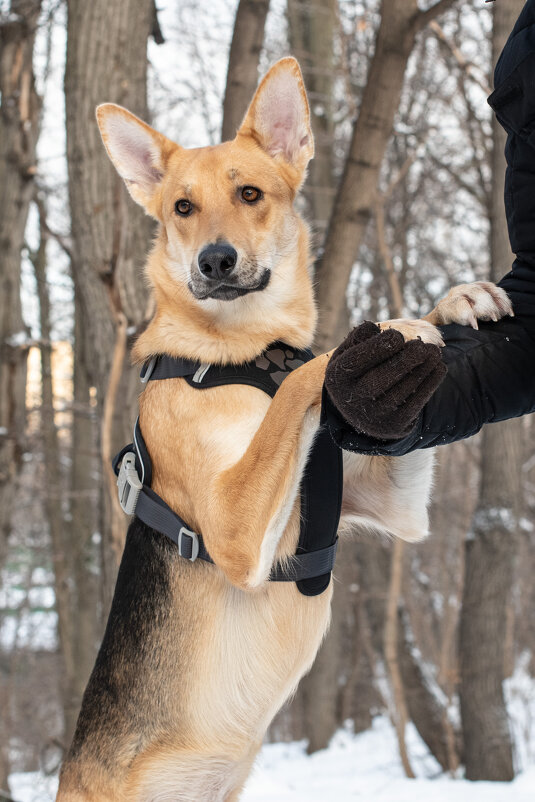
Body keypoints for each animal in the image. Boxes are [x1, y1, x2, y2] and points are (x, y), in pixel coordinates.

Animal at [56, 57, 512, 800]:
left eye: (249, 193)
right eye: (182, 208)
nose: (213, 261)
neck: (242, 356)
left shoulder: (388, 502)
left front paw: (449, 301)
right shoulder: (234, 532)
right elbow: (310, 374)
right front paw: (373, 338)